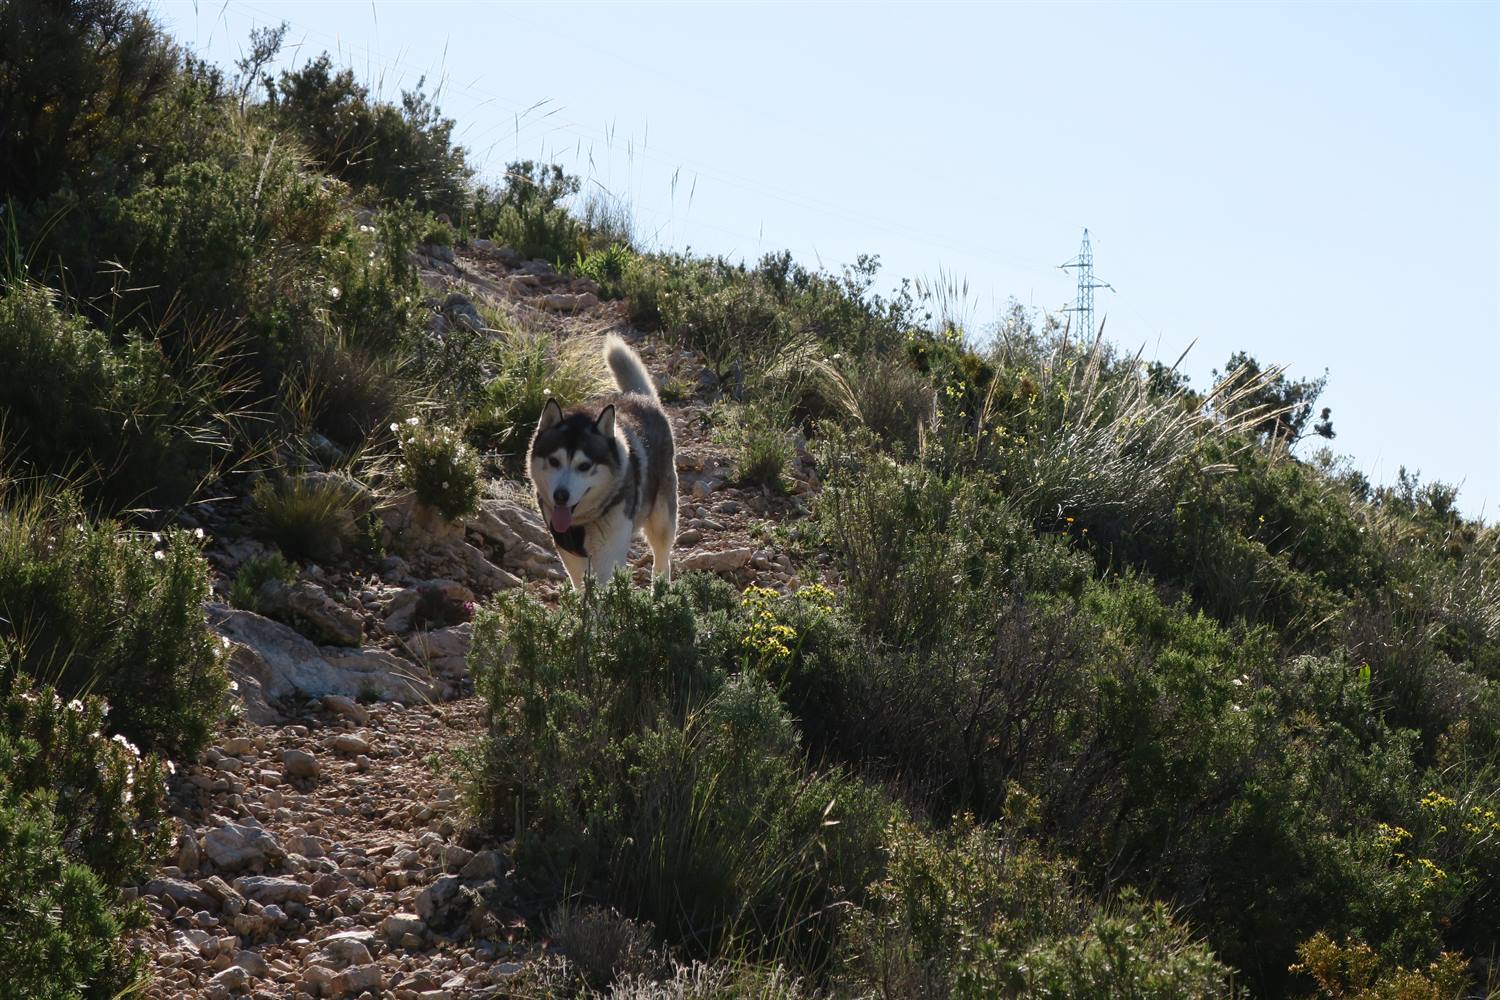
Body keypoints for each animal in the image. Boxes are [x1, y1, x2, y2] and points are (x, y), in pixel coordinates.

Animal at [522, 335, 675, 587]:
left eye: (584, 466)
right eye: (554, 461)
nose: (561, 496)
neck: (581, 523)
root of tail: (640, 396)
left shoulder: (608, 552)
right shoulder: (568, 552)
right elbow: (581, 584)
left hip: (662, 519)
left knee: (662, 558)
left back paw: (661, 589)